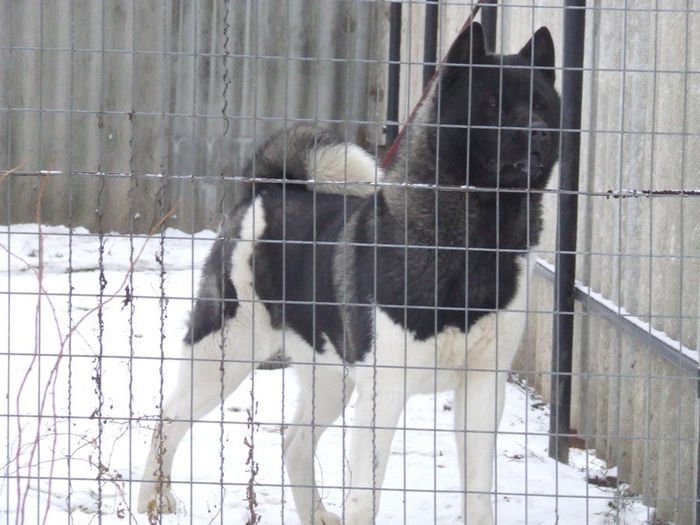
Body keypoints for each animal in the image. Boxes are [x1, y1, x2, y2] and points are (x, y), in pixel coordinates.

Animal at [139, 23, 560, 524]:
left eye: (540, 103)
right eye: (493, 104)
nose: (537, 134)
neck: (473, 243)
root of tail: (266, 190)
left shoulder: (482, 389)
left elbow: (478, 497)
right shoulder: (383, 392)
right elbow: (364, 497)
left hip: (329, 375)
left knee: (294, 443)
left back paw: (315, 514)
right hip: (225, 352)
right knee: (168, 417)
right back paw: (151, 500)